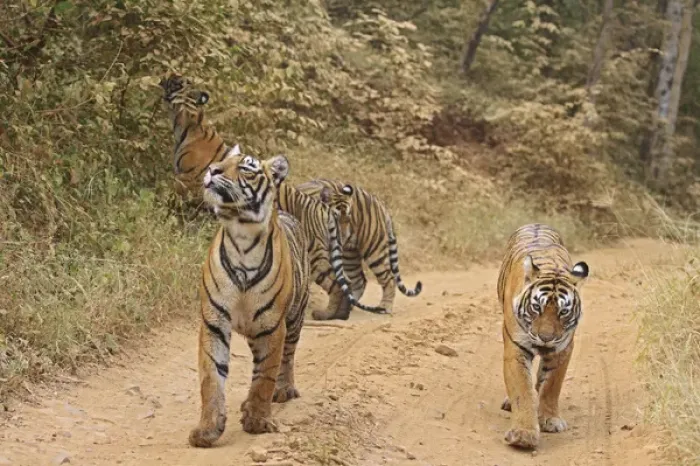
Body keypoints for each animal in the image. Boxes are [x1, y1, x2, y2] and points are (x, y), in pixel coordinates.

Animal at [189, 148, 378, 448]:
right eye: (222, 161)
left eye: (246, 167)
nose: (212, 170)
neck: (241, 235)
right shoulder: (214, 322)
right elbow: (211, 377)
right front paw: (207, 430)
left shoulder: (271, 325)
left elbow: (265, 376)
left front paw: (257, 420)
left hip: (293, 318)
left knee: (286, 358)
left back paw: (283, 390)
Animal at [295, 179, 422, 319]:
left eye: (346, 220)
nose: (341, 236)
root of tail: (377, 200)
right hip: (349, 255)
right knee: (358, 281)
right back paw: (348, 307)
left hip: (373, 248)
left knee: (389, 278)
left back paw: (384, 308)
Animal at [496, 223, 589, 449]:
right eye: (537, 307)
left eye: (563, 312)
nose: (546, 338)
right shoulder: (516, 347)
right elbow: (522, 389)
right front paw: (524, 434)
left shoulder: (562, 349)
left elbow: (551, 385)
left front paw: (550, 419)